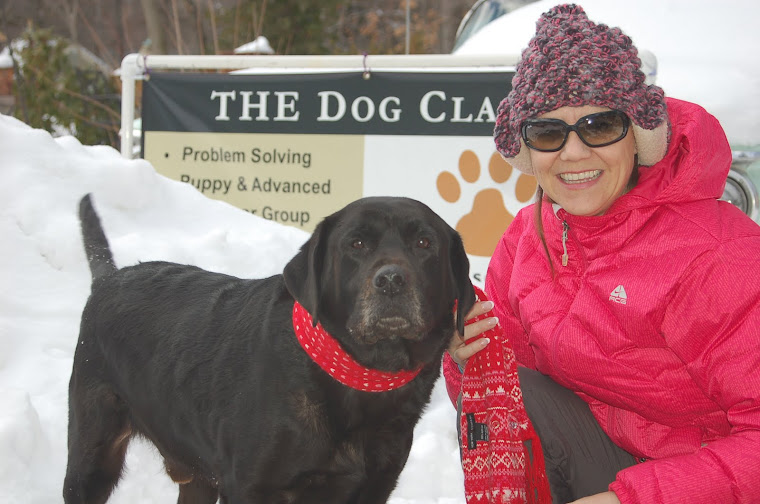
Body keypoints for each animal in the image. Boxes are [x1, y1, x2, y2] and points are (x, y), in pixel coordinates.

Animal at [65, 194, 472, 504]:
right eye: (356, 244)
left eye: (424, 244)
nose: (391, 281)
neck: (356, 377)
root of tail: (108, 279)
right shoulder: (250, 488)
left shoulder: (374, 488)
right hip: (91, 458)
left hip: (196, 477)